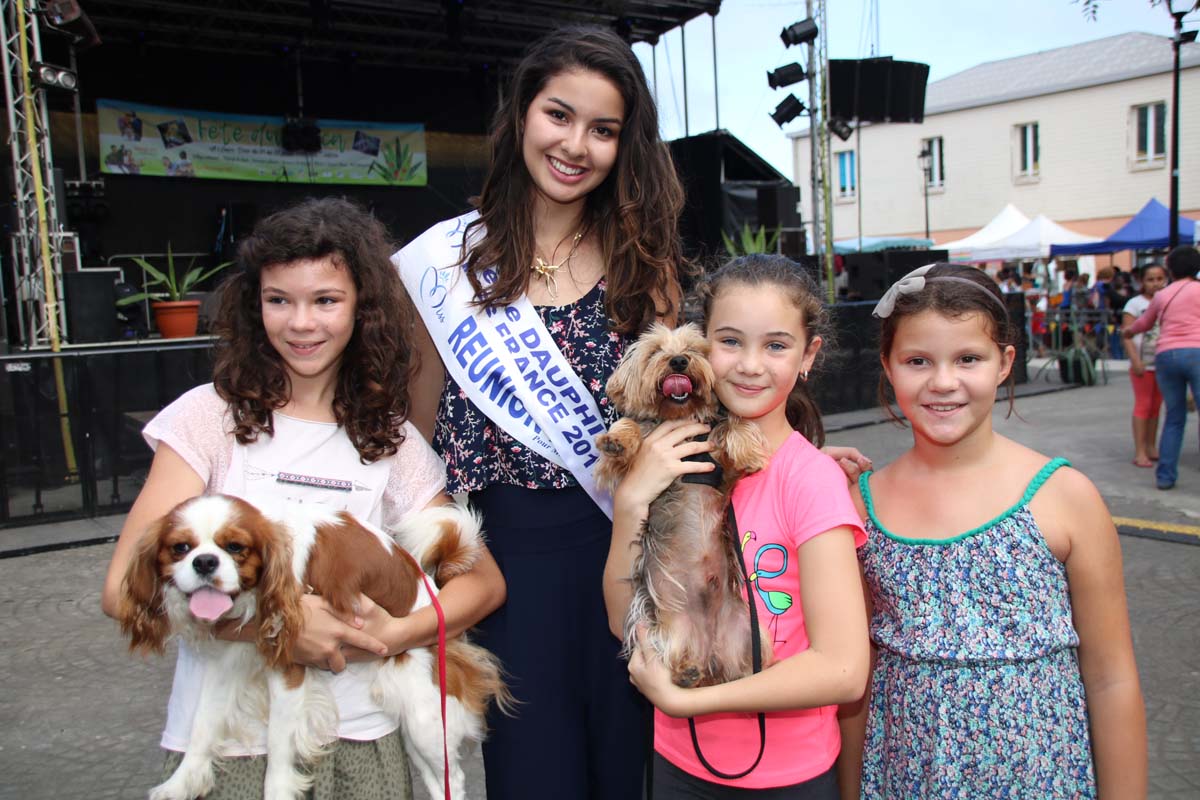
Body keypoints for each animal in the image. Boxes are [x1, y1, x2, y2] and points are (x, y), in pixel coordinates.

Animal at [121, 494, 511, 800]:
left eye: (235, 548)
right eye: (180, 548)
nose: (204, 562)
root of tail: (435, 593)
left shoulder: (290, 669)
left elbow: (279, 745)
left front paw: (277, 792)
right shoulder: (227, 664)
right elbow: (202, 724)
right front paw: (181, 783)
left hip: (424, 714)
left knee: (452, 777)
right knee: (434, 778)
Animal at [595, 323, 772, 690]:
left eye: (694, 350)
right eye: (654, 352)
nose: (678, 361)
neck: (679, 417)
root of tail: (712, 655)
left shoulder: (723, 474)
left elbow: (732, 423)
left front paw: (747, 450)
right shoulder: (620, 470)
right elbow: (630, 430)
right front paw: (618, 438)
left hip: (753, 632)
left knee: (746, 666)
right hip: (662, 629)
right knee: (672, 652)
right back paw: (686, 670)